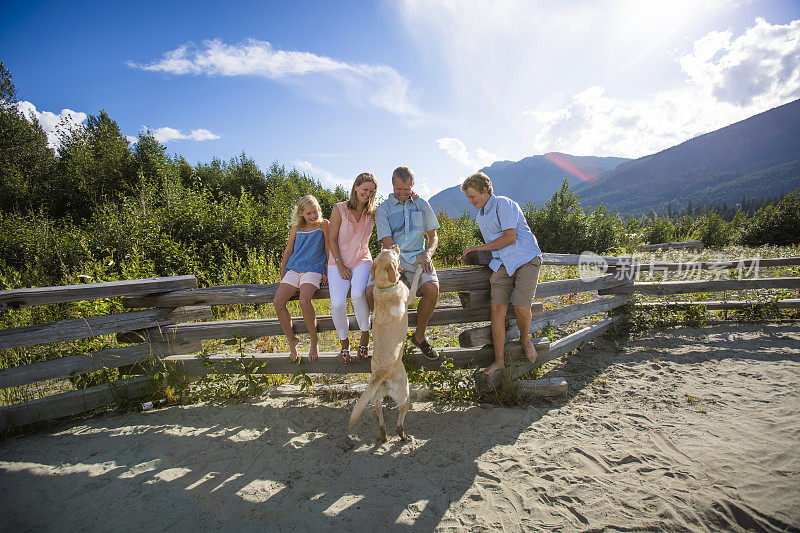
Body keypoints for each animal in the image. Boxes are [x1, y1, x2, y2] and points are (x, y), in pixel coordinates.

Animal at [350, 245, 424, 440]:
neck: (384, 287)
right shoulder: (410, 296)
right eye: (392, 253)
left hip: (375, 398)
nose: (395, 245)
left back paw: (383, 435)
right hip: (405, 393)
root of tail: (379, 375)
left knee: (380, 418)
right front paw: (419, 269)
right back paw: (404, 437)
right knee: (399, 423)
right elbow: (415, 283)